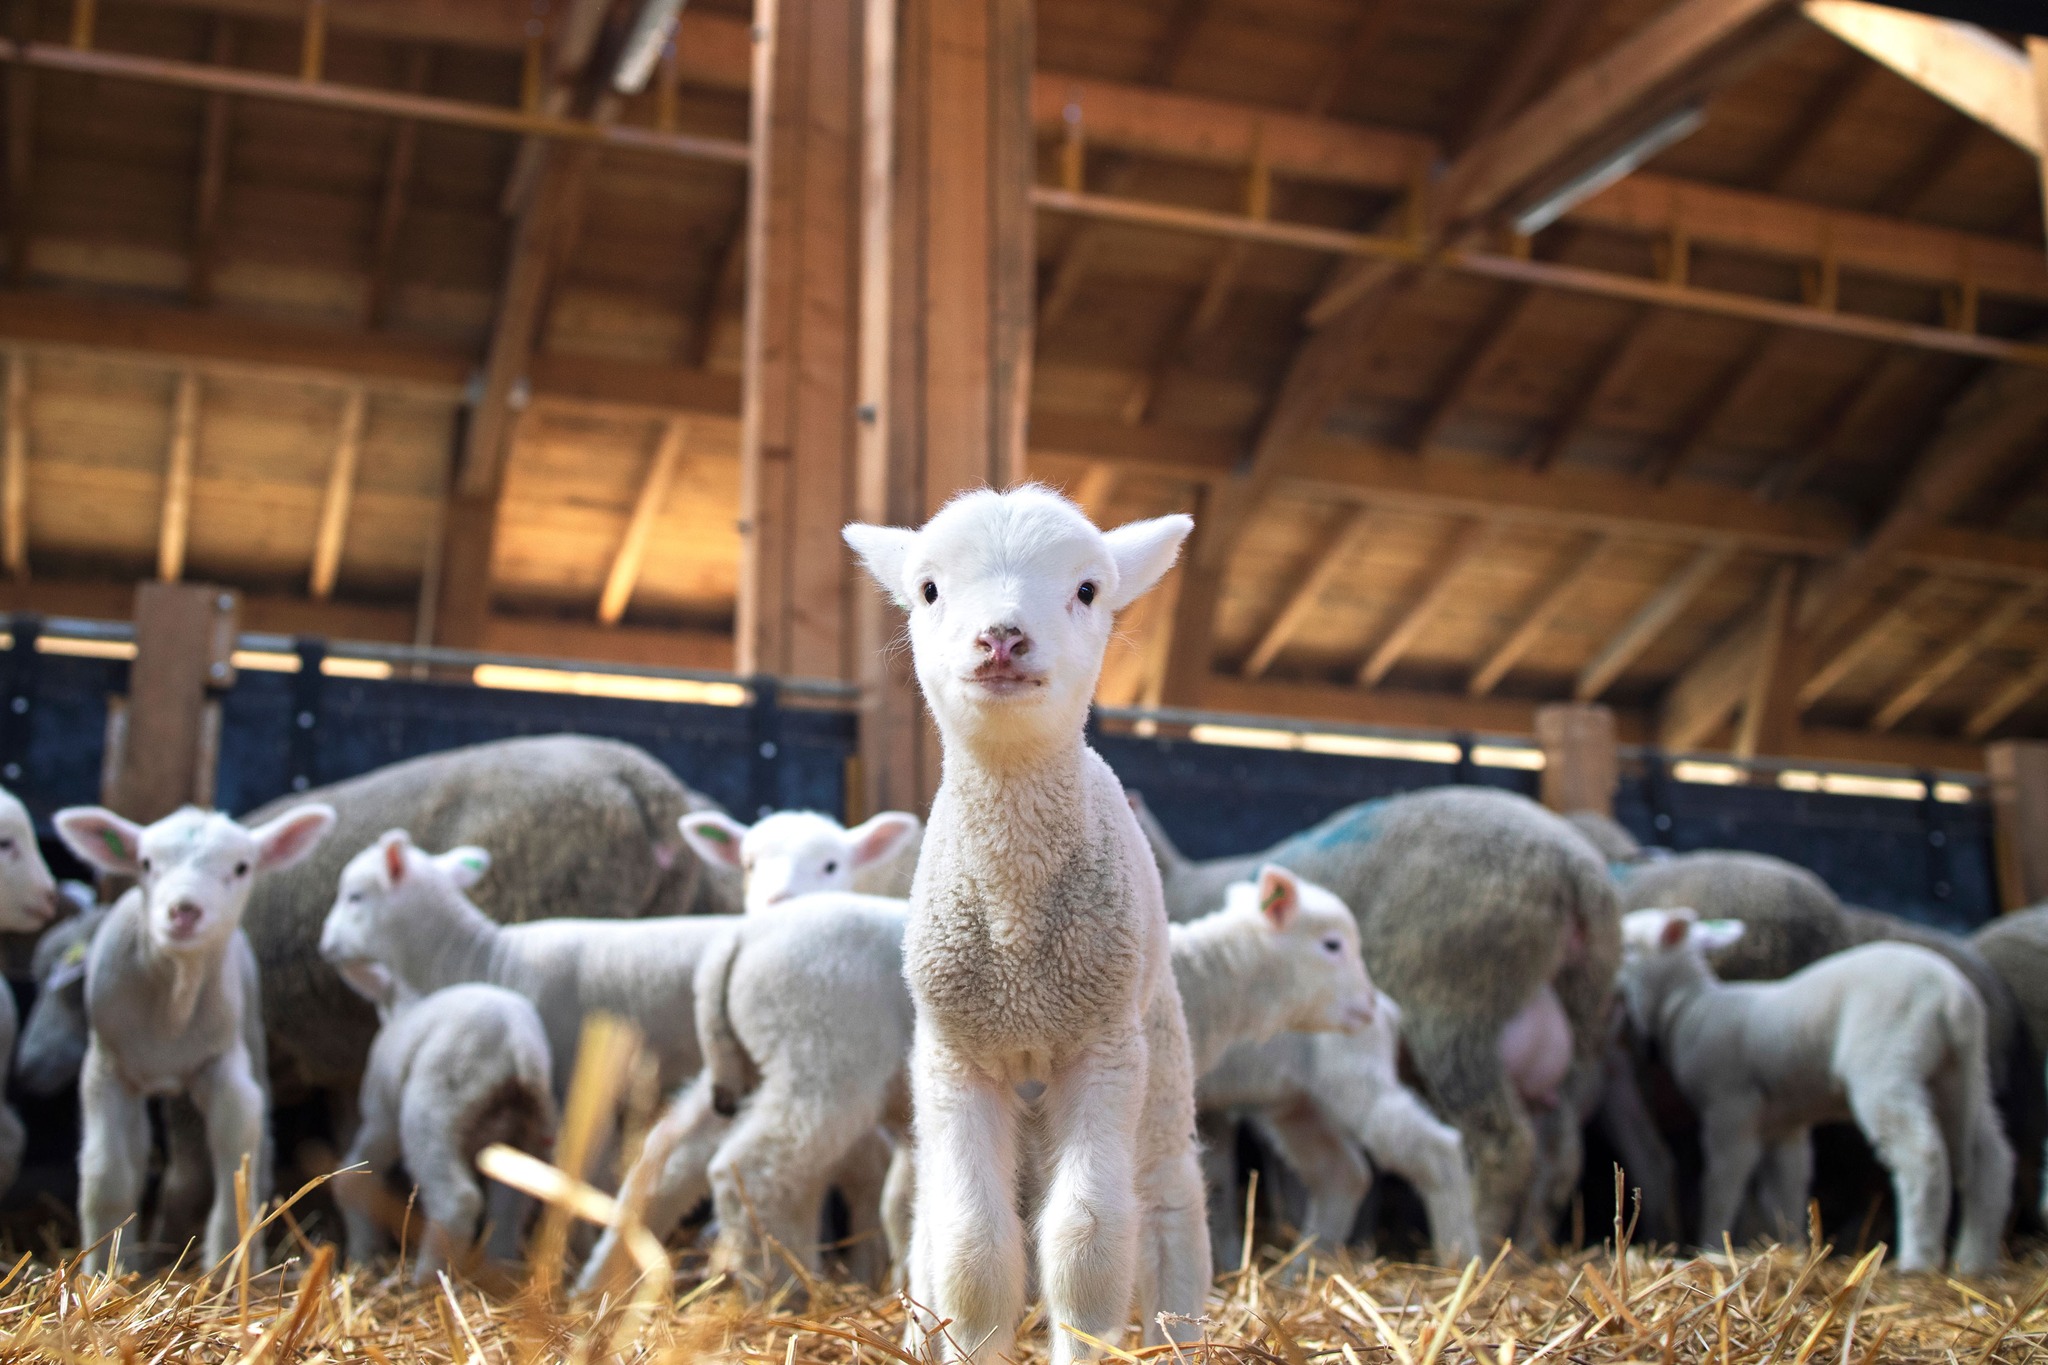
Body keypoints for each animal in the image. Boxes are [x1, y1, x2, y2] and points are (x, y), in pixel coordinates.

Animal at [54, 802, 336, 1275]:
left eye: (241, 867)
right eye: (146, 863)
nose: (184, 911)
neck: (173, 1001)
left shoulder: (223, 1066)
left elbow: (237, 1147)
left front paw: (229, 1262)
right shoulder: (106, 1069)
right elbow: (107, 1171)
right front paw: (107, 1269)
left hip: (251, 1030)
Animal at [331, 954, 555, 1284]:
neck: (406, 1002)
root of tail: (517, 1042)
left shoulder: (380, 1113)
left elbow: (354, 1177)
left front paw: (362, 1251)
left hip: (432, 1109)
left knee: (458, 1201)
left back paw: (426, 1278)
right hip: (529, 1129)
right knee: (510, 1205)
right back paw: (499, 1272)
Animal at [845, 487, 1201, 1363]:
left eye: (1087, 590)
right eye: (929, 590)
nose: (1002, 637)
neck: (1017, 940)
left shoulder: (1101, 1047)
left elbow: (1088, 1240)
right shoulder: (955, 1058)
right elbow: (973, 1249)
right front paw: (966, 1340)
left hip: (1157, 1039)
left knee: (1167, 1197)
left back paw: (1185, 1334)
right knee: (930, 1224)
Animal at [1131, 786, 1619, 1252]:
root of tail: (1575, 868)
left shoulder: (1215, 1101)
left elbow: (1218, 1177)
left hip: (1456, 1016)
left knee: (1500, 1145)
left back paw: (1476, 1247)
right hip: (1579, 1027)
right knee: (1559, 1157)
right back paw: (1525, 1250)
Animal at [1616, 907, 2011, 1273]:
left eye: (1628, 946)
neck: (1688, 1007)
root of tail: (1953, 996)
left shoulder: (1730, 1107)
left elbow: (1722, 1183)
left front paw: (1710, 1244)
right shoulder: (1783, 1125)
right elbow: (1786, 1186)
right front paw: (1793, 1245)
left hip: (1887, 1065)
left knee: (1922, 1154)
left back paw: (1917, 1260)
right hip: (1961, 1075)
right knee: (1989, 1158)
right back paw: (1975, 1261)